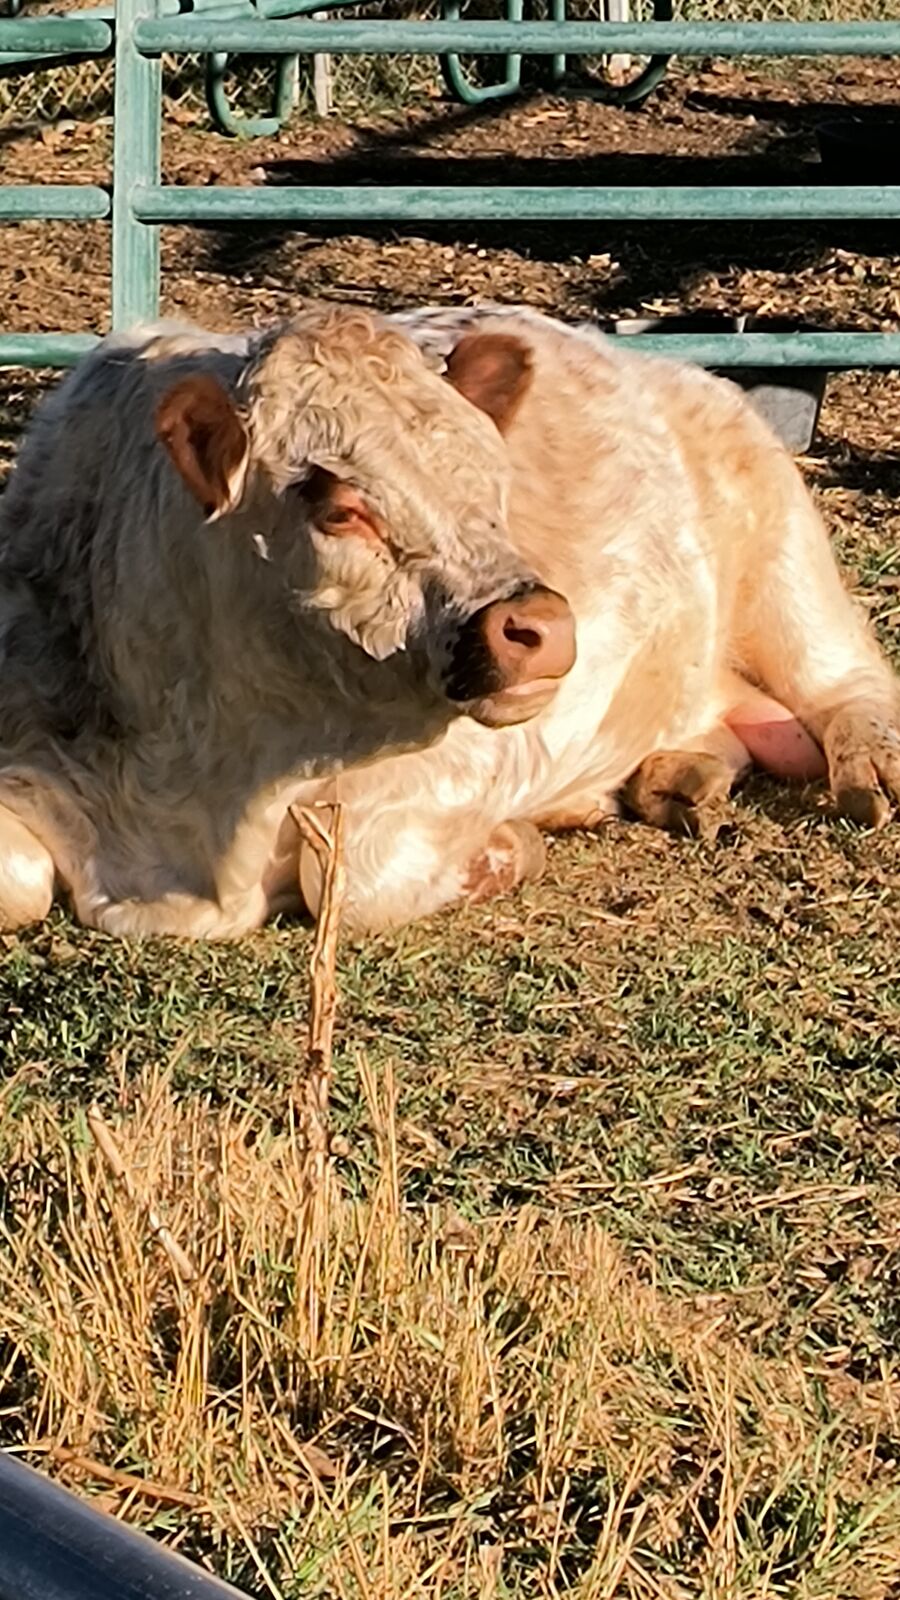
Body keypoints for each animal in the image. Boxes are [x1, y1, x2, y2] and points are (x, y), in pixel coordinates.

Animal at [0, 307, 576, 937]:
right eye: (342, 512)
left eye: (494, 480)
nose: (541, 621)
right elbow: (16, 879)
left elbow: (351, 880)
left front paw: (513, 841)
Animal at [294, 305, 900, 934]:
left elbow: (341, 871)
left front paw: (513, 842)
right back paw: (686, 792)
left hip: (781, 534)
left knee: (847, 676)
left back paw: (873, 792)